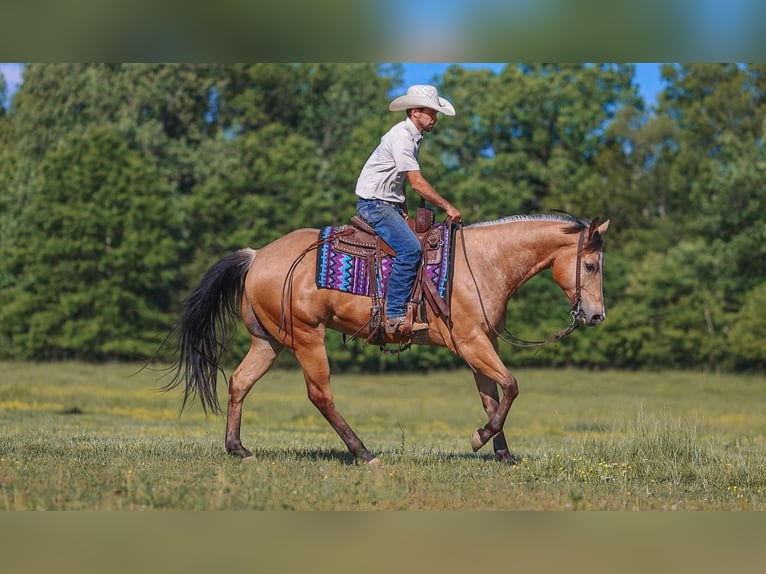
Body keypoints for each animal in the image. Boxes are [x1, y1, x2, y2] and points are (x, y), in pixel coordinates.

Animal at [164, 213, 610, 465]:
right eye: (590, 265)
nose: (596, 315)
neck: (482, 263)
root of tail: (256, 256)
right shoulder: (471, 343)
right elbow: (512, 386)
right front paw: (479, 439)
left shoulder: (484, 344)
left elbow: (493, 396)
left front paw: (502, 453)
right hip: (307, 337)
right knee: (320, 394)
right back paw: (364, 452)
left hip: (268, 342)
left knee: (239, 382)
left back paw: (237, 448)